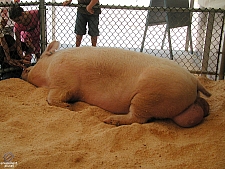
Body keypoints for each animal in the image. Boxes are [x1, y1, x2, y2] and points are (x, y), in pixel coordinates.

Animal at [21, 41, 211, 127]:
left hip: (148, 96)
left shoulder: (62, 82)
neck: (49, 67)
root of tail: (194, 81)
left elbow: (52, 98)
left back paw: (109, 120)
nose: (23, 70)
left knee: (138, 119)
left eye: (34, 63)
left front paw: (68, 107)